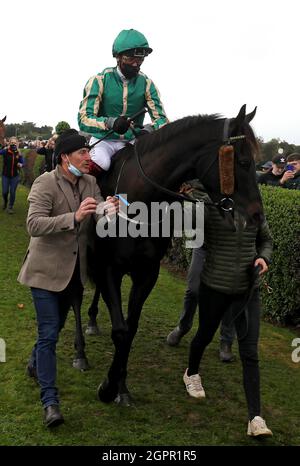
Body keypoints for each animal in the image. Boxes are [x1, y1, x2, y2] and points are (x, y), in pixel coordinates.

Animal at [85, 104, 262, 406]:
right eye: (243, 161)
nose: (258, 215)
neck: (139, 200)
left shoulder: (147, 273)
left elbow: (130, 330)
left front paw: (120, 387)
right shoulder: (110, 267)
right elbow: (120, 330)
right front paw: (108, 388)